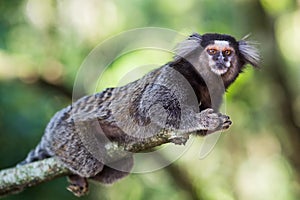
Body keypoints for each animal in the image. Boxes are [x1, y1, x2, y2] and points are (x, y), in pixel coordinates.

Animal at [18, 32, 258, 195]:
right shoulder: (174, 77)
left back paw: (76, 178)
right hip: (66, 133)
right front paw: (201, 120)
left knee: (123, 167)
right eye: (212, 51)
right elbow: (152, 105)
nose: (221, 60)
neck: (203, 79)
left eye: (228, 52)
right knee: (89, 164)